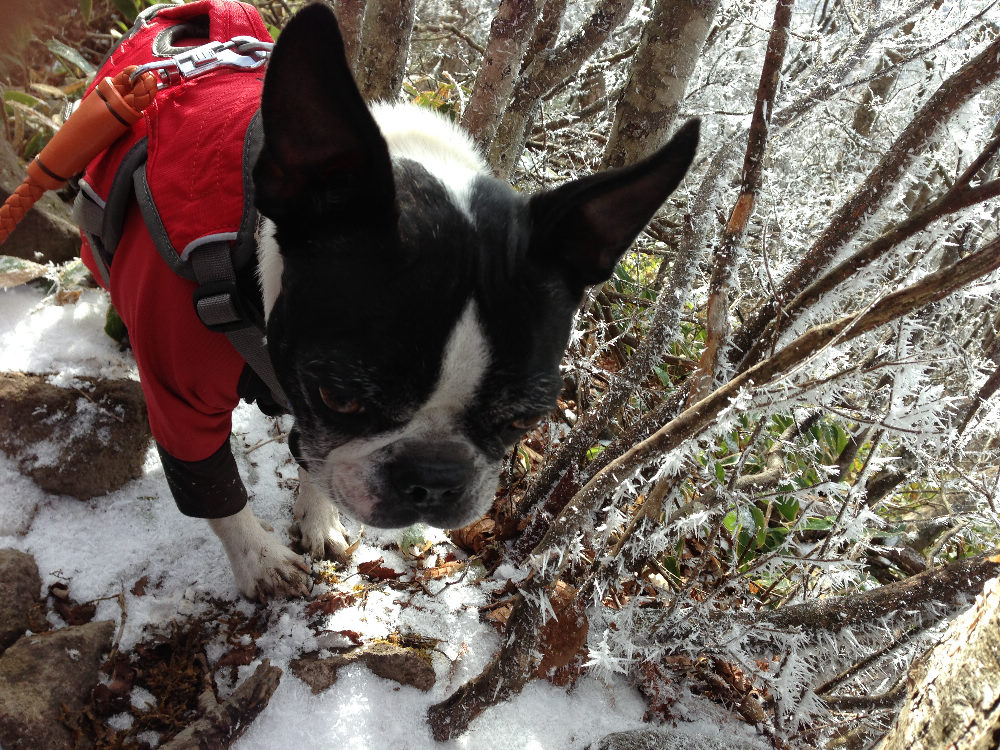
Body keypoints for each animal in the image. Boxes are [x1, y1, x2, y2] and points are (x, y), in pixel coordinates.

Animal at [208, 2, 700, 600]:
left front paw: (319, 519)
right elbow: (216, 490)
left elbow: (310, 454)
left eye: (523, 420)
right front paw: (259, 560)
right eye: (340, 398)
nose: (434, 479)